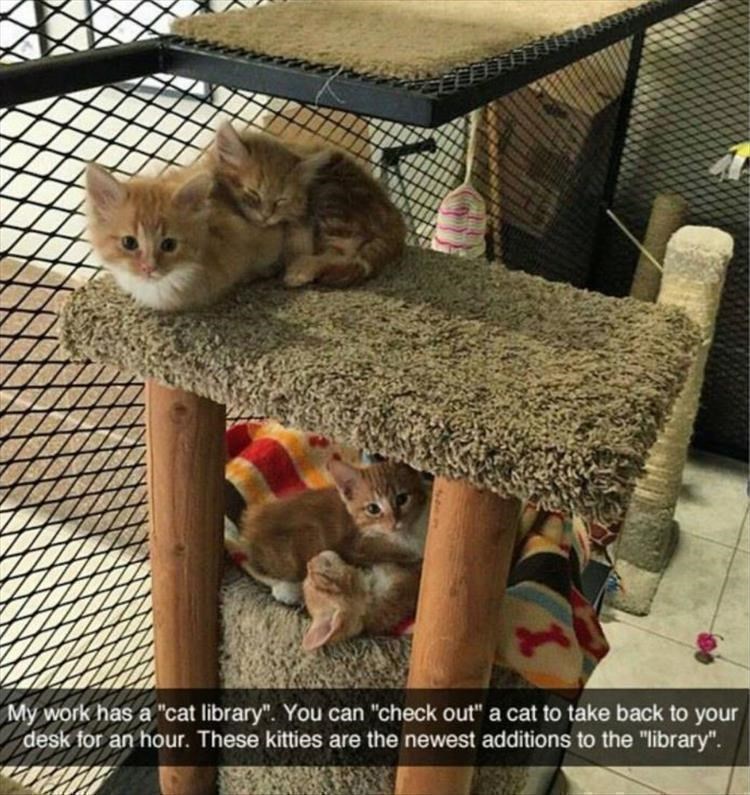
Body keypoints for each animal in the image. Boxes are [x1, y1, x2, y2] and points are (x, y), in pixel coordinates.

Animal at [210, 121, 407, 288]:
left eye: (281, 200)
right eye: (253, 193)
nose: (266, 216)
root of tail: (396, 220)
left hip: (333, 197)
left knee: (343, 252)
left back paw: (302, 268)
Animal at [238, 458, 426, 605]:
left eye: (402, 499)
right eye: (373, 509)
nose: (395, 522)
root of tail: (250, 527)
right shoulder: (356, 549)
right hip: (307, 540)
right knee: (252, 567)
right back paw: (288, 590)